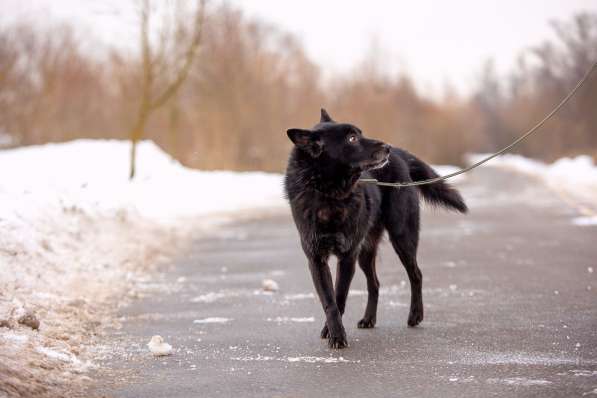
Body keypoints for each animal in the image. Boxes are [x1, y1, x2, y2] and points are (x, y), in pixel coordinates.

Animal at [284, 109, 466, 348]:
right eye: (352, 138)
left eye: (360, 133)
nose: (387, 146)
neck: (328, 193)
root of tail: (400, 155)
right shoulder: (317, 260)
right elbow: (329, 301)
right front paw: (334, 333)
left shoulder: (347, 256)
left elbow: (339, 297)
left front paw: (335, 334)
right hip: (365, 252)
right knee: (375, 284)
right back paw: (369, 318)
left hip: (401, 237)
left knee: (416, 274)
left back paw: (415, 315)